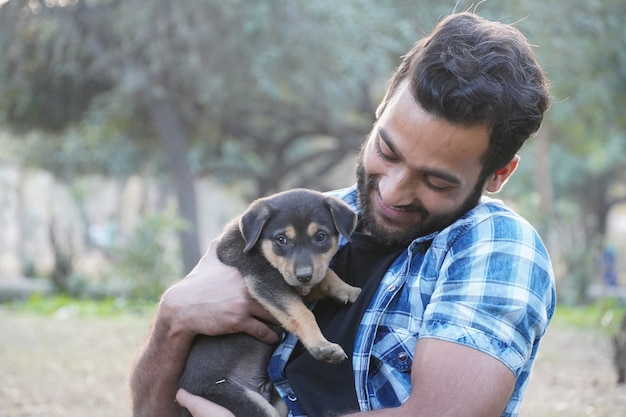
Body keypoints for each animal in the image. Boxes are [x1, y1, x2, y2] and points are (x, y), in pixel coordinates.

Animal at [178, 188, 358, 416]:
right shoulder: (264, 278)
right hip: (238, 398)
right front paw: (322, 345)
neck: (255, 244)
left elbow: (325, 273)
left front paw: (347, 290)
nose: (304, 276)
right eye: (281, 239)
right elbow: (302, 312)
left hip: (279, 401)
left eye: (320, 237)